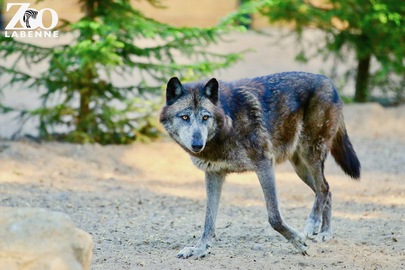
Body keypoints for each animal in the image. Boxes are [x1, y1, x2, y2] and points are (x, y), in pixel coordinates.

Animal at [159, 72, 360, 260]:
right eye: (185, 117)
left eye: (205, 117)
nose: (197, 144)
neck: (228, 124)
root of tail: (329, 82)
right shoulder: (214, 174)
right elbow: (209, 220)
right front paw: (200, 249)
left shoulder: (264, 165)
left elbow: (274, 217)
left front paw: (298, 241)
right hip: (300, 168)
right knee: (327, 190)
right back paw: (325, 232)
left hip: (310, 155)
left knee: (323, 188)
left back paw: (313, 224)